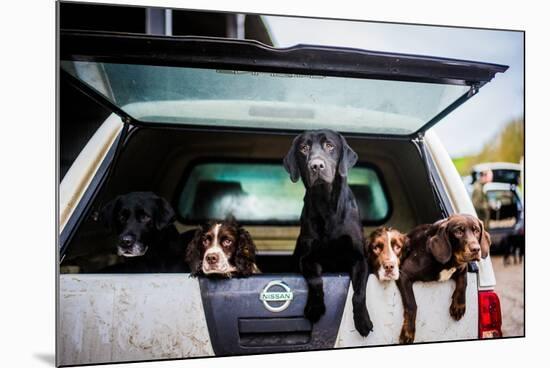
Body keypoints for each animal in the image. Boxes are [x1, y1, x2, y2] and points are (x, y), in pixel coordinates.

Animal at [284, 129, 376, 336]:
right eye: (304, 148)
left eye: (329, 146)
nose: (316, 165)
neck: (326, 204)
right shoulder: (307, 258)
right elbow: (315, 280)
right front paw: (315, 308)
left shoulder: (360, 258)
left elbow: (359, 293)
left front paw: (363, 320)